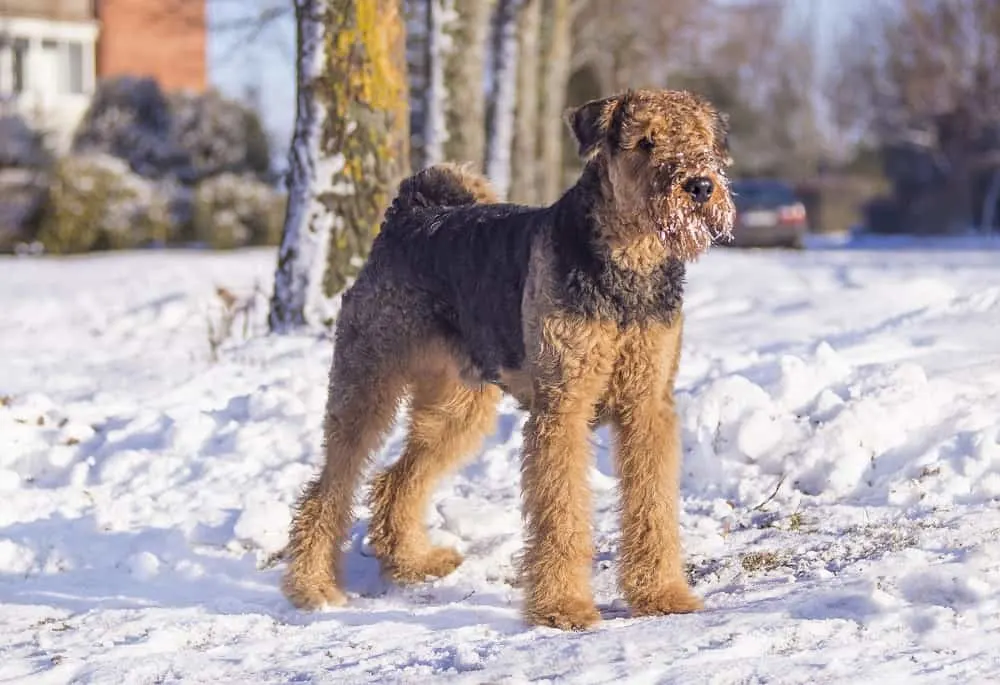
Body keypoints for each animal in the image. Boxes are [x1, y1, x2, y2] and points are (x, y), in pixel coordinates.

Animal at [282, 88, 736, 628]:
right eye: (645, 141)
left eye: (702, 139)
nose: (701, 186)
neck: (629, 265)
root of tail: (407, 215)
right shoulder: (563, 406)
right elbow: (561, 512)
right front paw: (562, 607)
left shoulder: (648, 406)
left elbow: (654, 505)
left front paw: (662, 594)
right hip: (366, 386)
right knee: (328, 489)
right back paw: (313, 588)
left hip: (458, 407)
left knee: (396, 479)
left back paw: (414, 562)